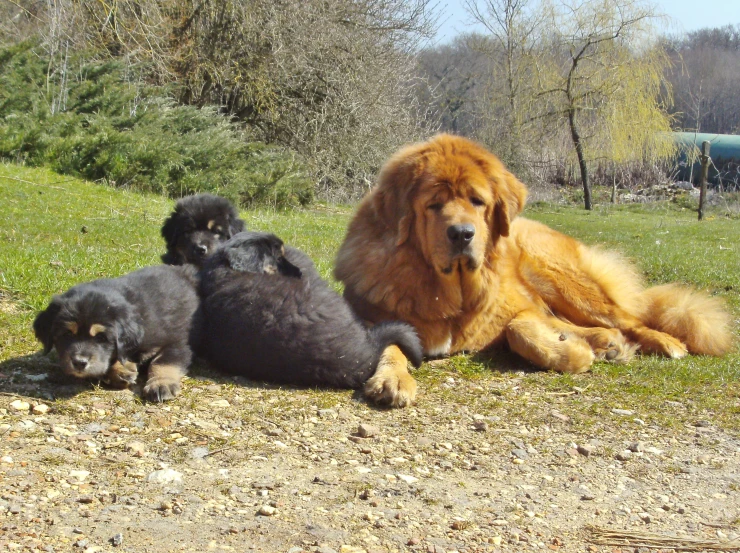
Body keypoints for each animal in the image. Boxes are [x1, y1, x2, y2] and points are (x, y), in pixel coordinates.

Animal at [33, 264, 201, 398]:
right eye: (67, 334)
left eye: (101, 338)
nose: (79, 363)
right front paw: (122, 370)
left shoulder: (176, 342)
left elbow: (162, 362)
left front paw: (161, 384)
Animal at [336, 135, 736, 406]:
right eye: (434, 205)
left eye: (477, 201)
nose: (462, 233)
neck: (451, 291)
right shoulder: (373, 318)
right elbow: (390, 345)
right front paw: (392, 380)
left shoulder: (520, 310)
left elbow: (519, 330)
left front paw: (573, 354)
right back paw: (608, 344)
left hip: (556, 276)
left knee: (628, 318)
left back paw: (664, 343)